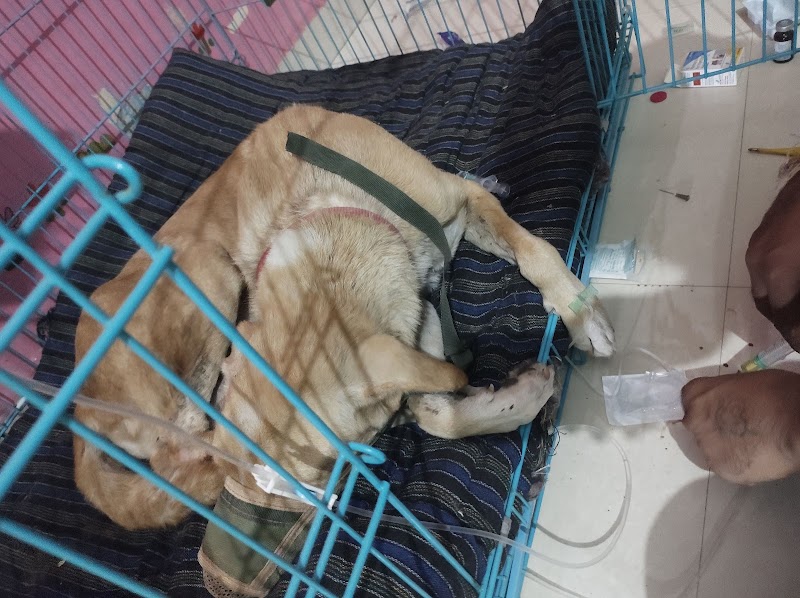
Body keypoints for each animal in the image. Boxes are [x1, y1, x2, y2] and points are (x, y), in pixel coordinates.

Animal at [73, 105, 615, 530]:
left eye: (326, 469)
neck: (334, 211)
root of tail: (78, 408)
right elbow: (438, 414)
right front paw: (520, 396)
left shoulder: (460, 205)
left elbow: (533, 252)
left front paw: (578, 312)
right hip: (203, 275)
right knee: (175, 459)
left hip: (210, 272)